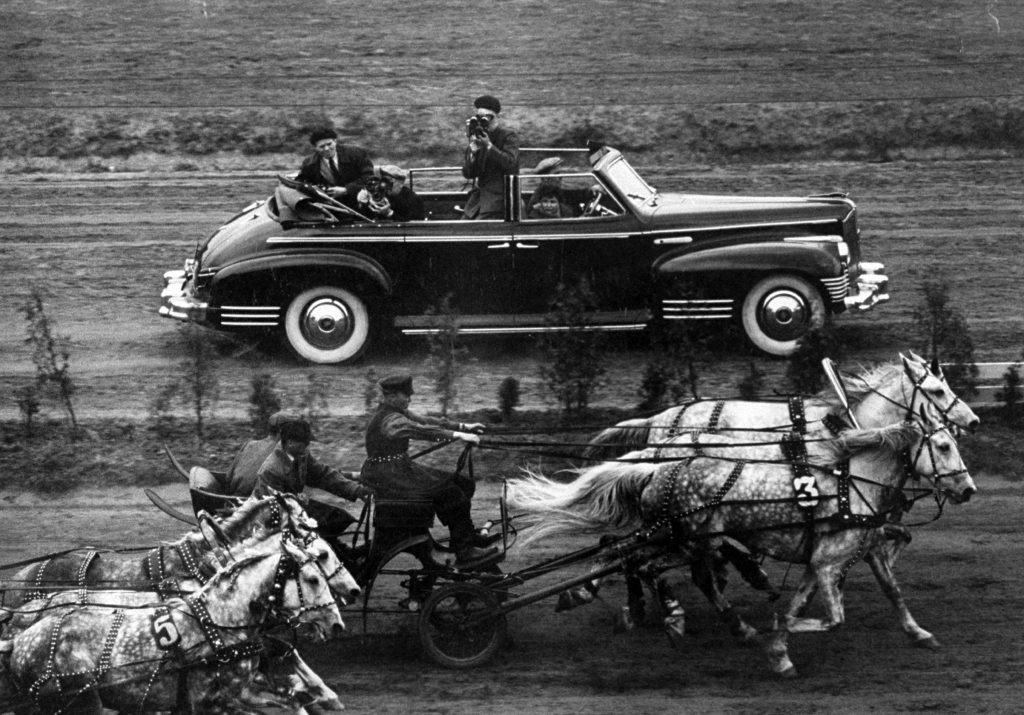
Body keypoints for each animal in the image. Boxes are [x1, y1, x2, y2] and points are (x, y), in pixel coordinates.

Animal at [512, 409, 974, 676]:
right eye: (943, 445)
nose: (968, 489)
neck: (851, 485)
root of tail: (657, 467)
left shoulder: (837, 557)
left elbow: (889, 591)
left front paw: (919, 633)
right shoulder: (829, 565)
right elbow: (830, 619)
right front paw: (776, 634)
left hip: (682, 538)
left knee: (633, 557)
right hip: (687, 538)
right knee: (657, 566)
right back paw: (691, 619)